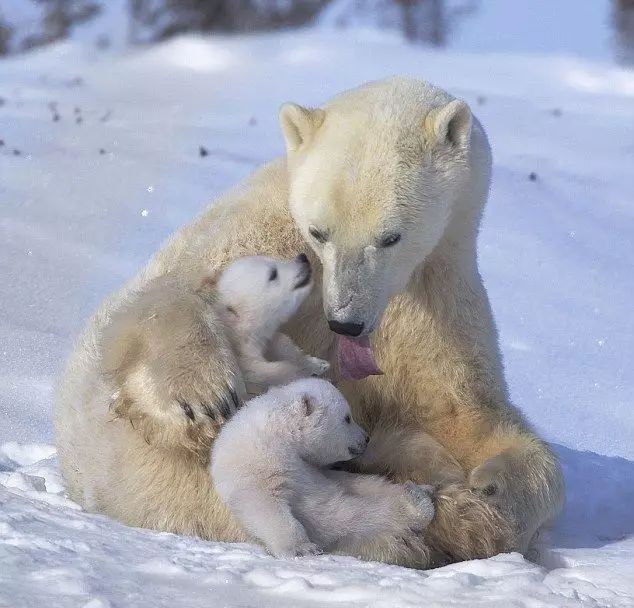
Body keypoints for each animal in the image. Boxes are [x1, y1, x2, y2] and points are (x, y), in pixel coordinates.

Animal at [210, 380, 432, 560]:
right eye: (347, 417)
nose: (366, 438)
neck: (279, 436)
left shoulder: (312, 468)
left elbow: (351, 483)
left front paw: (417, 488)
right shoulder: (260, 466)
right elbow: (268, 504)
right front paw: (303, 548)